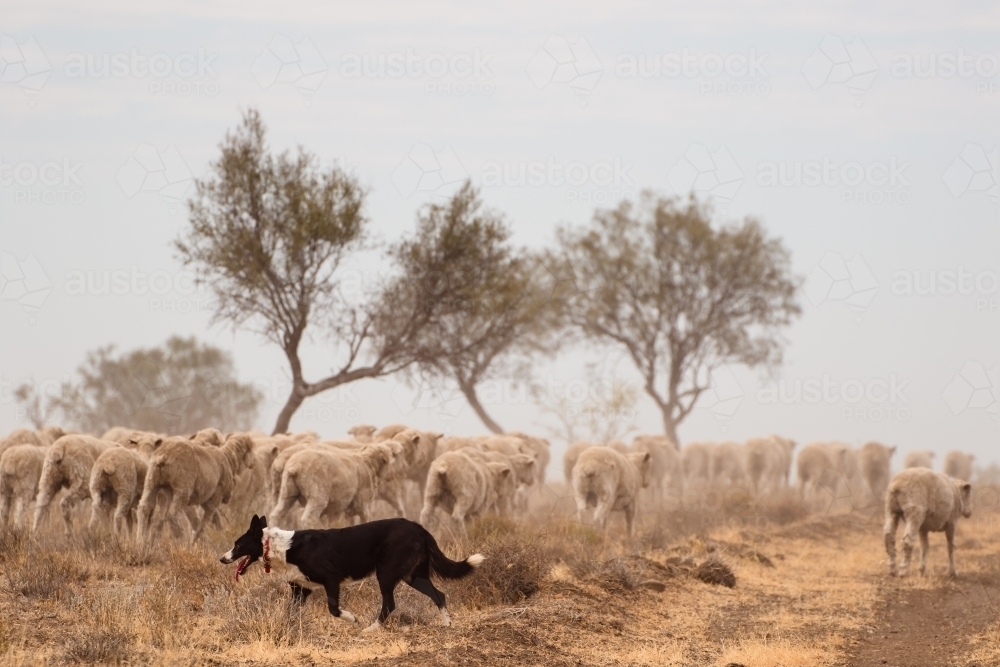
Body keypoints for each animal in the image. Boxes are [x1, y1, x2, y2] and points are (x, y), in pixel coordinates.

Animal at [220, 516, 484, 636]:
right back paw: (447, 623)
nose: (222, 558)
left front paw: (353, 619)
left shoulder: (331, 580)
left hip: (386, 573)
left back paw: (371, 628)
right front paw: (289, 628)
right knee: (439, 594)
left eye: (238, 544)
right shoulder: (300, 589)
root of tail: (417, 526)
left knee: (390, 603)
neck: (279, 547)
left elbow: (333, 609)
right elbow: (290, 613)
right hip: (412, 576)